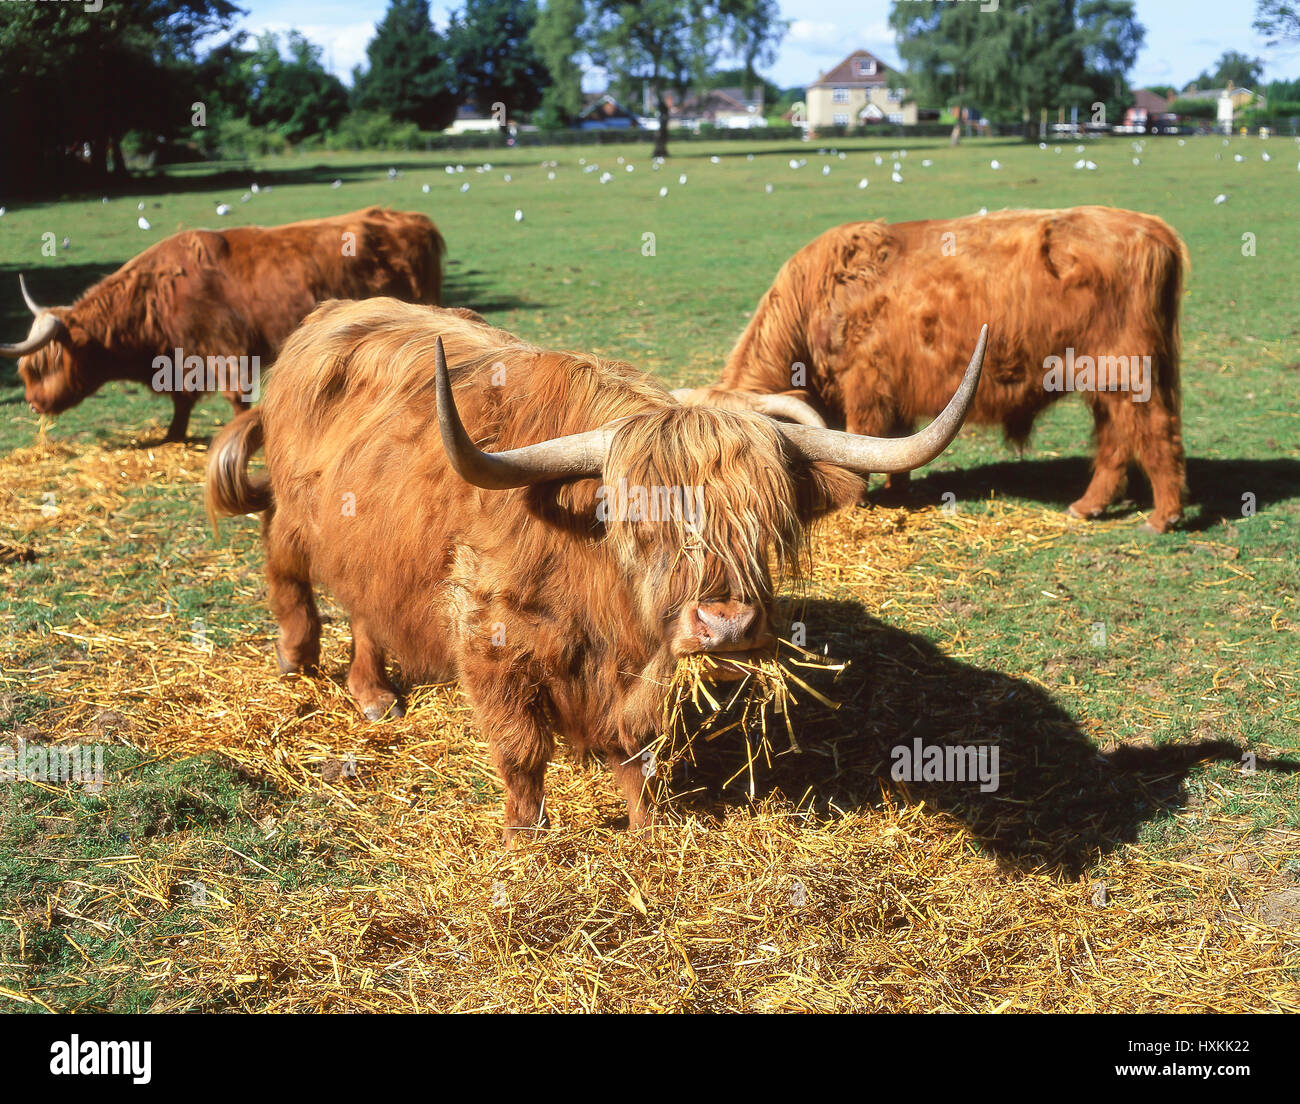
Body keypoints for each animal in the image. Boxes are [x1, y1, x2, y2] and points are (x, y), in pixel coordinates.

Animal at [2, 206, 447, 439]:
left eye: (42, 365)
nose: (33, 402)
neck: (158, 296)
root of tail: (411, 218)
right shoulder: (181, 360)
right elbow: (182, 401)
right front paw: (173, 435)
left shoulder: (223, 350)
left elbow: (234, 397)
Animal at [202, 297, 982, 837]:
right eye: (643, 524)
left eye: (768, 521)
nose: (727, 626)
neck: (593, 583)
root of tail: (329, 315)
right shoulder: (492, 647)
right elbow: (520, 753)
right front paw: (525, 837)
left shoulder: (643, 666)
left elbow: (635, 751)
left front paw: (648, 827)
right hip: (299, 522)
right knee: (288, 570)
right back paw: (304, 659)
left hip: (374, 546)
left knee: (366, 606)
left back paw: (374, 693)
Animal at [681, 209, 1190, 533]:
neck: (822, 293)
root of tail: (1152, 228)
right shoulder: (893, 393)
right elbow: (896, 445)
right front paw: (898, 491)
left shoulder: (865, 386)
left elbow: (864, 438)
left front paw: (858, 502)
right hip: (1107, 382)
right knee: (1116, 438)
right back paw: (1090, 506)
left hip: (1127, 374)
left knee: (1155, 432)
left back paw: (1160, 517)